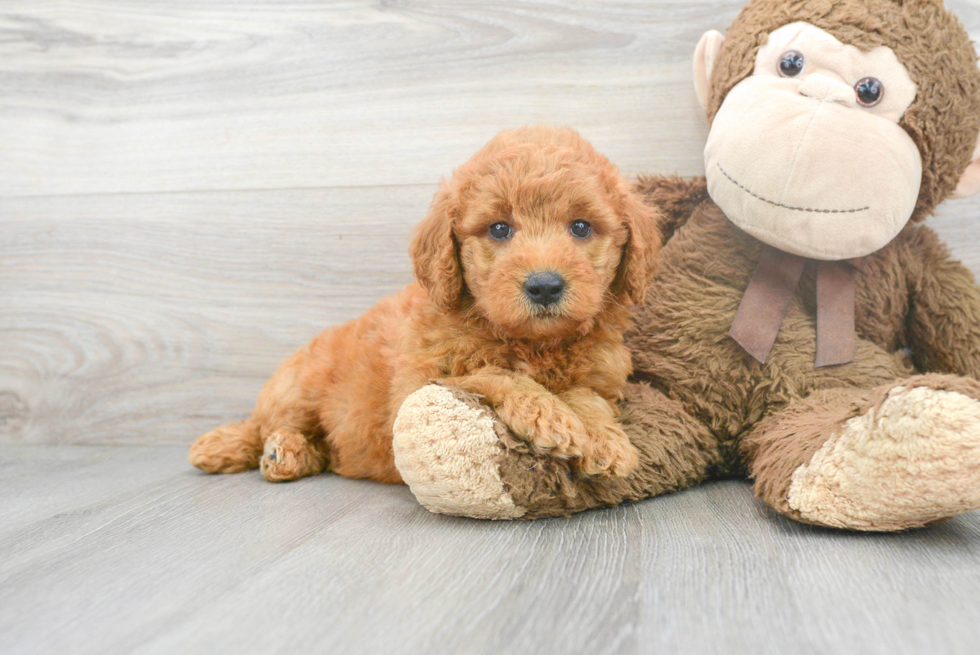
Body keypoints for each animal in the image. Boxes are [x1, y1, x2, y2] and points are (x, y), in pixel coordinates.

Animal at [188, 127, 664, 482]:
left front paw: (605, 439)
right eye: (499, 229)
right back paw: (247, 447)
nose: (544, 286)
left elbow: (589, 396)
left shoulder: (603, 377)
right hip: (297, 387)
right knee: (266, 424)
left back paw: (291, 456)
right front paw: (548, 415)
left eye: (581, 227)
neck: (532, 343)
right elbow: (490, 373)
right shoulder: (418, 385)